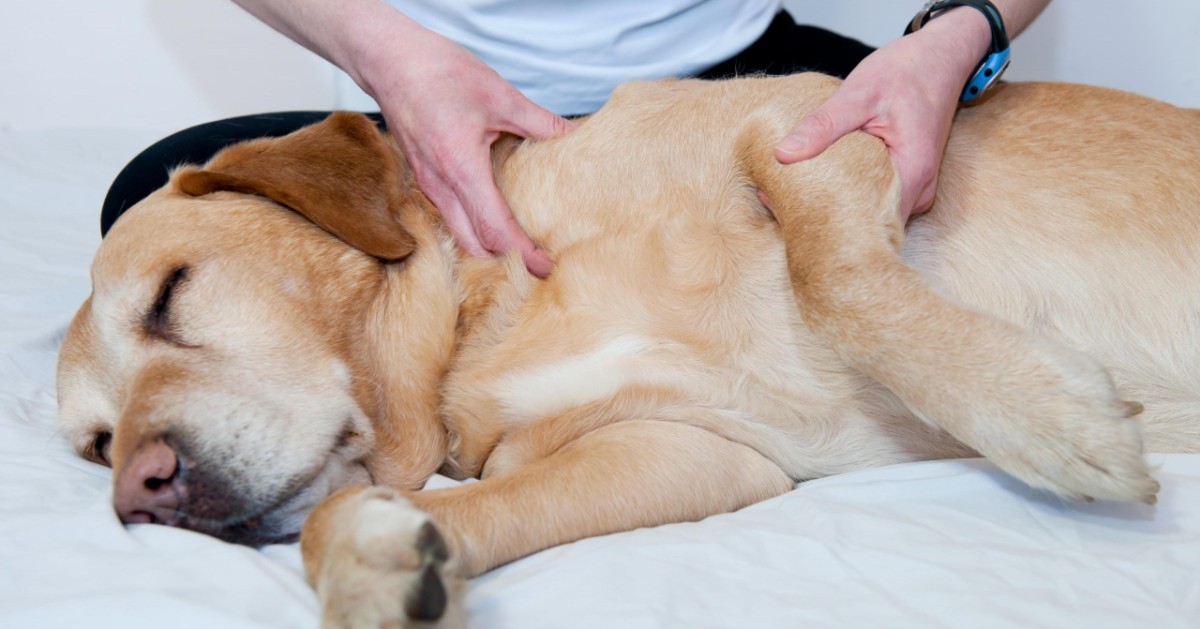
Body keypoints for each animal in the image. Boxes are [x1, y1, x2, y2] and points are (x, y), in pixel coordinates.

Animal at [58, 75, 1200, 629]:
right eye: (93, 445)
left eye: (171, 293)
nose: (141, 491)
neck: (486, 321)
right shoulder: (690, 451)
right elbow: (403, 511)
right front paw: (374, 566)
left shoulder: (805, 122)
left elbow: (838, 283)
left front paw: (1049, 418)